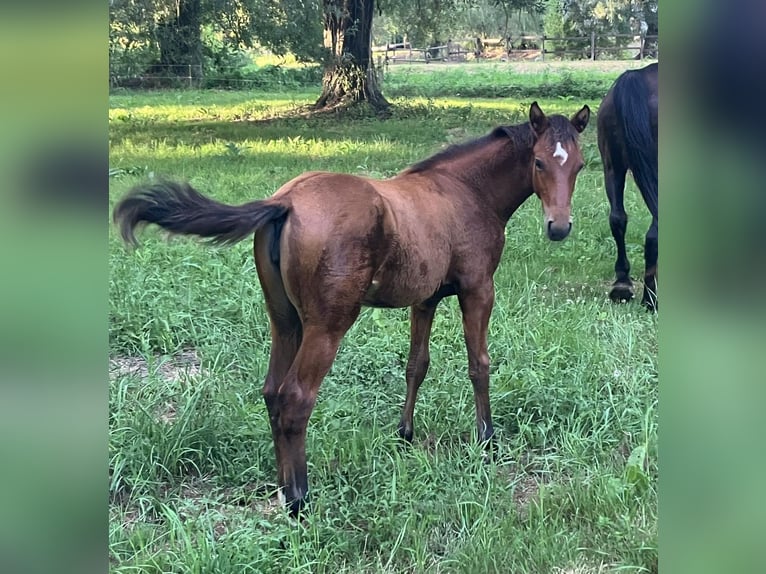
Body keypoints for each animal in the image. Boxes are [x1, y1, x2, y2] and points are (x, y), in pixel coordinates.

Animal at [114, 102, 592, 516]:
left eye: (580, 165)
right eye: (539, 163)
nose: (559, 227)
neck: (465, 192)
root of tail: (286, 201)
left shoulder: (425, 299)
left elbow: (417, 364)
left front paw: (404, 434)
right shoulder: (478, 290)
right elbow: (479, 364)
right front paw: (487, 441)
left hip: (285, 321)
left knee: (271, 391)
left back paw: (282, 486)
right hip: (328, 325)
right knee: (294, 398)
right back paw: (299, 499)